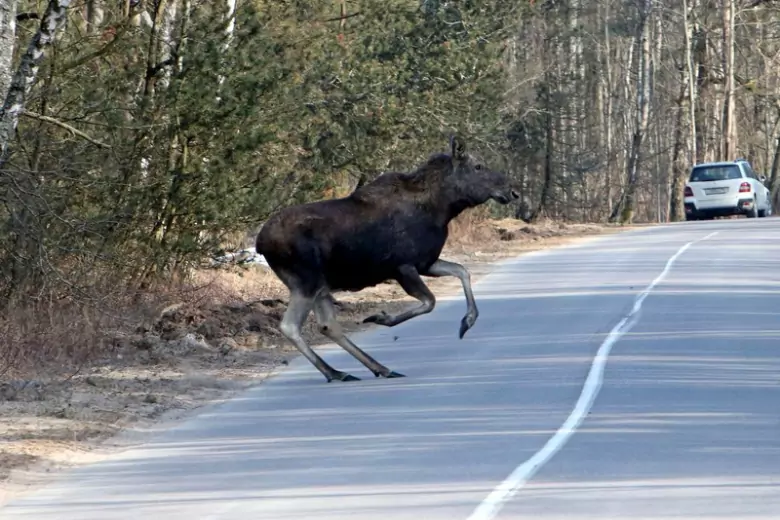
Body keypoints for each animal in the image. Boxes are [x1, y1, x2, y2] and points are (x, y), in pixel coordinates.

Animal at [256, 136, 520, 384]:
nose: (513, 192)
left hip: (319, 284)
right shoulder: (403, 266)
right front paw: (383, 318)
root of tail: (260, 243)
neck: (443, 209)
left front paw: (467, 321)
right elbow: (430, 301)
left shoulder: (426, 262)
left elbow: (463, 271)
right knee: (291, 325)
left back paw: (370, 369)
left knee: (327, 324)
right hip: (306, 280)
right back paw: (337, 371)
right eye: (478, 166)